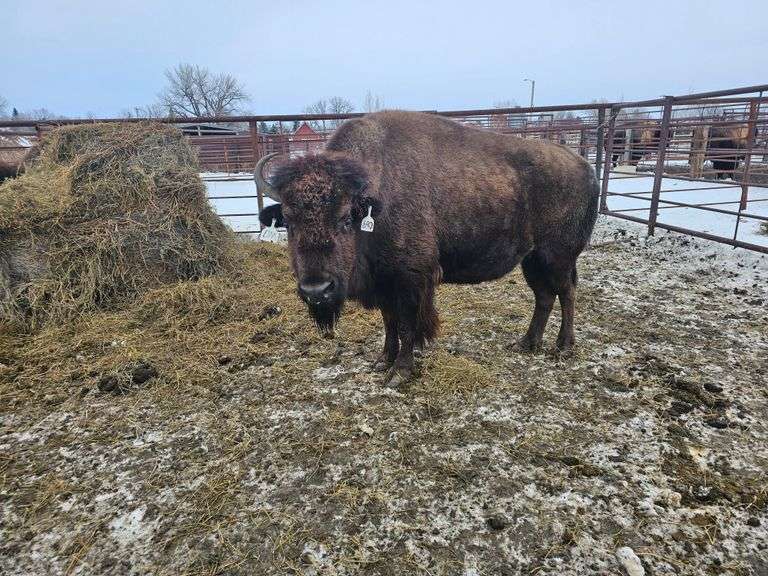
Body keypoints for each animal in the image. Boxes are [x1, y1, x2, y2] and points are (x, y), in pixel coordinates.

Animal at [254, 111, 599, 388]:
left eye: (345, 218)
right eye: (288, 221)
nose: (316, 290)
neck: (375, 199)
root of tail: (586, 167)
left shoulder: (411, 279)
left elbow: (408, 325)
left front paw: (399, 372)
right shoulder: (385, 283)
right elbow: (389, 322)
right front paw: (382, 360)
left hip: (557, 256)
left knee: (566, 292)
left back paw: (563, 347)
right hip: (532, 259)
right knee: (544, 297)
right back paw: (526, 343)